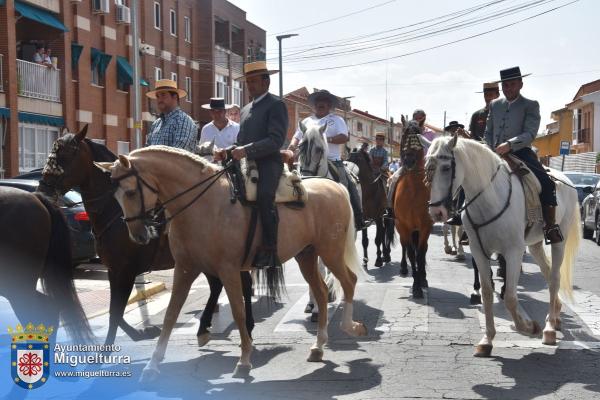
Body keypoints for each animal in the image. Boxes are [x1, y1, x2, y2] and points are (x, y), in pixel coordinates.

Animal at [37, 126, 253, 346]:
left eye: (66, 154)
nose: (43, 189)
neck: (114, 211)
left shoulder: (126, 271)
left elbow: (116, 313)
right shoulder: (113, 270)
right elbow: (115, 312)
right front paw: (140, 332)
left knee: (237, 284)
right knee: (221, 285)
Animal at [96, 146, 368, 382]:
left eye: (130, 192)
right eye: (115, 195)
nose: (139, 235)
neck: (203, 205)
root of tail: (334, 186)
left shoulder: (228, 270)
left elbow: (238, 311)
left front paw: (244, 360)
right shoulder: (185, 269)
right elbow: (171, 314)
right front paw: (152, 365)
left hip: (330, 252)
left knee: (349, 282)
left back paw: (350, 327)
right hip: (307, 255)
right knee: (321, 292)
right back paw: (318, 347)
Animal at [424, 135, 580, 356]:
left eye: (446, 168)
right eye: (427, 168)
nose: (436, 212)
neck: (489, 199)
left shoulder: (513, 252)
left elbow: (510, 298)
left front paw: (529, 327)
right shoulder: (479, 252)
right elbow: (487, 293)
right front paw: (487, 340)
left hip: (560, 240)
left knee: (555, 278)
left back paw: (548, 329)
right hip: (535, 245)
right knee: (549, 274)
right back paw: (554, 316)